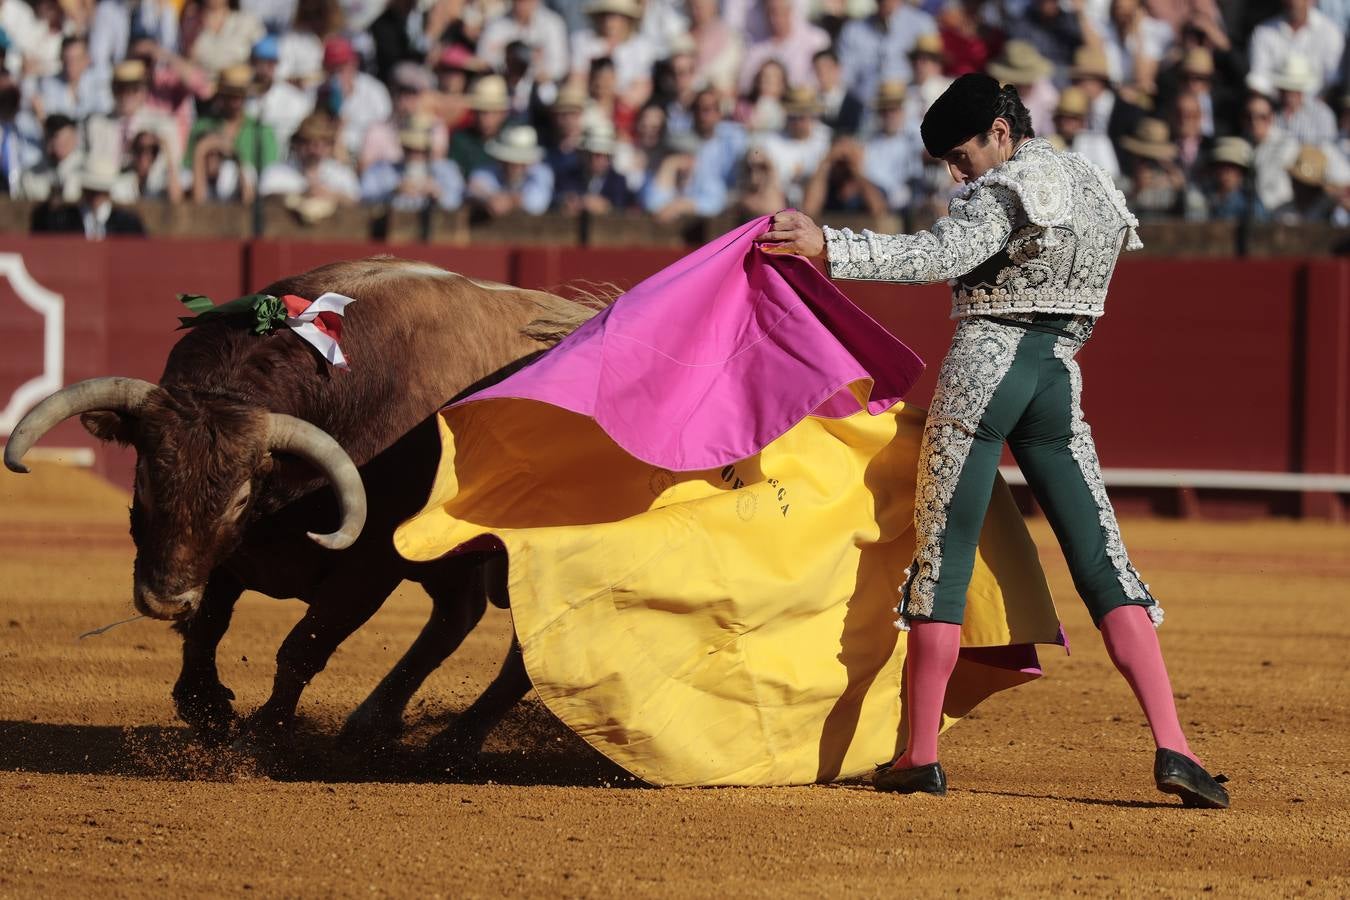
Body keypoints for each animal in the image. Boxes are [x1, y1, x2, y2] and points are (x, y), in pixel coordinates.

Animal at [3, 256, 596, 750]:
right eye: (145, 476)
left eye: (241, 496)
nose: (163, 599)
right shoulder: (225, 555)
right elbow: (207, 627)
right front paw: (208, 709)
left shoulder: (373, 563)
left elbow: (304, 643)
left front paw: (267, 731)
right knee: (460, 615)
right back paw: (373, 725)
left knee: (525, 652)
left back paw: (454, 742)